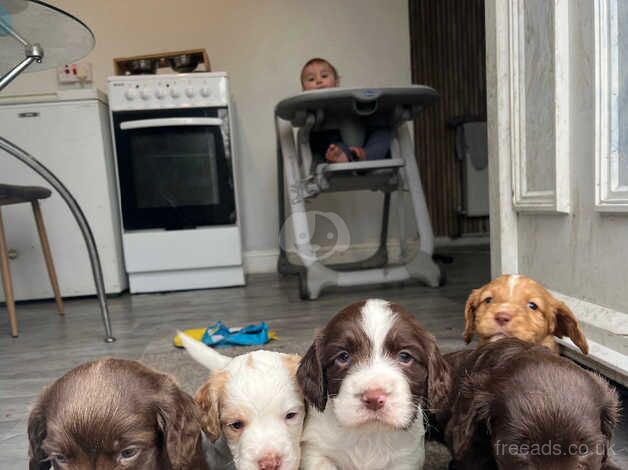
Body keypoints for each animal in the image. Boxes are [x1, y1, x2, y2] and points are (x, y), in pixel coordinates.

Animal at [296, 300, 448, 468]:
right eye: (343, 356)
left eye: (405, 357)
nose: (374, 398)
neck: (369, 435)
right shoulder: (316, 449)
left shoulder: (407, 458)